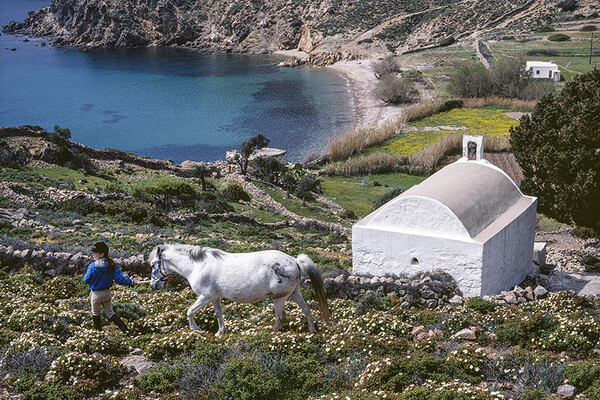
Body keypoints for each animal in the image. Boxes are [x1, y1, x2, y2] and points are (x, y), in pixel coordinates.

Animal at [149, 244, 336, 334]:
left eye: (152, 265)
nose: (153, 285)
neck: (197, 265)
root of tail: (295, 261)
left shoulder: (205, 296)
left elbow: (189, 311)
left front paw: (196, 329)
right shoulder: (215, 298)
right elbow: (219, 314)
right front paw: (220, 332)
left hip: (279, 298)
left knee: (281, 316)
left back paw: (270, 332)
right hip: (294, 293)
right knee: (306, 309)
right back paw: (312, 331)